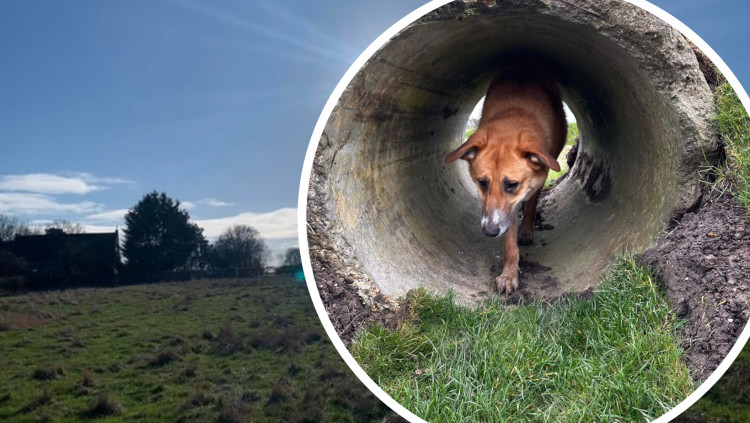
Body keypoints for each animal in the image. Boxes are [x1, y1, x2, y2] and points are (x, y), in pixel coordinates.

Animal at [446, 72, 564, 294]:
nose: (489, 232)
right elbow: (509, 241)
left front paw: (525, 230)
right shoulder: (506, 214)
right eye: (482, 183)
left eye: (512, 185)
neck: (514, 115)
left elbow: (531, 204)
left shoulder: (534, 183)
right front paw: (509, 275)